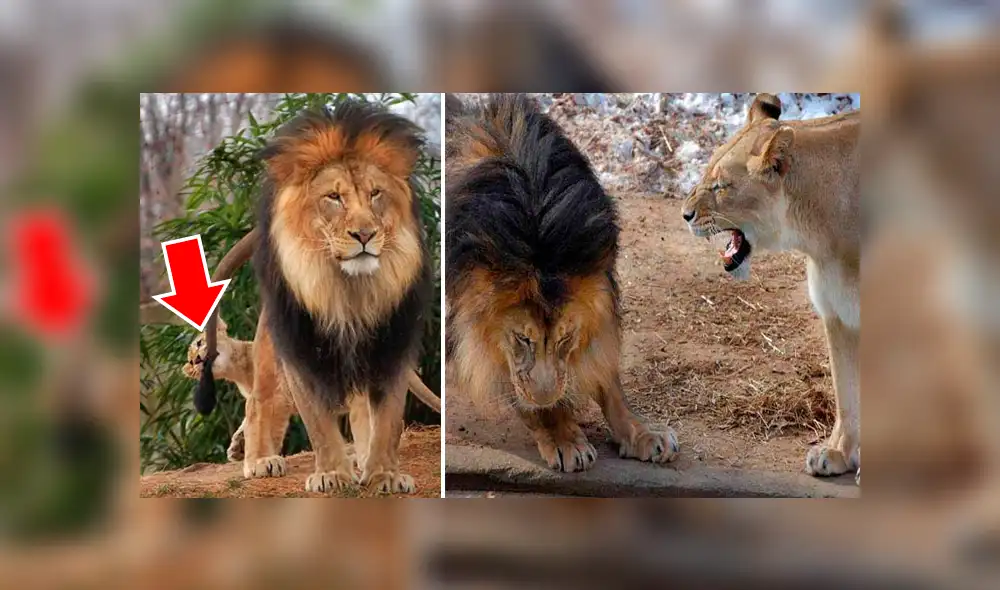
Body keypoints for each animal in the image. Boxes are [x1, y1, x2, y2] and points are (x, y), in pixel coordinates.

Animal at [196, 99, 434, 493]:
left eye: (375, 194)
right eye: (333, 198)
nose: (365, 234)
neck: (350, 292)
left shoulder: (390, 348)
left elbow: (387, 421)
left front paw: (383, 474)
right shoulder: (301, 351)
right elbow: (318, 423)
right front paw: (332, 475)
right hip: (271, 355)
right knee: (259, 403)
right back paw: (258, 459)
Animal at [445, 93, 678, 473]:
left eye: (567, 337)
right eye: (522, 338)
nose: (547, 397)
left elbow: (608, 378)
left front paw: (643, 434)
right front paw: (563, 436)